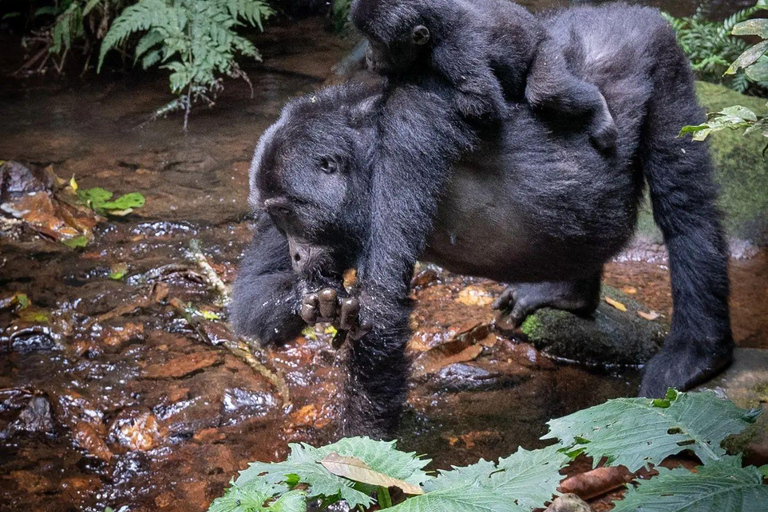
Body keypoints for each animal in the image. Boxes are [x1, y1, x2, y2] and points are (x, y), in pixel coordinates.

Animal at [352, 0, 620, 151]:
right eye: (368, 40)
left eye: (376, 43)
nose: (369, 55)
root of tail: (542, 29)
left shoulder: (455, 49)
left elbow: (481, 102)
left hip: (547, 49)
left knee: (547, 90)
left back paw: (598, 106)